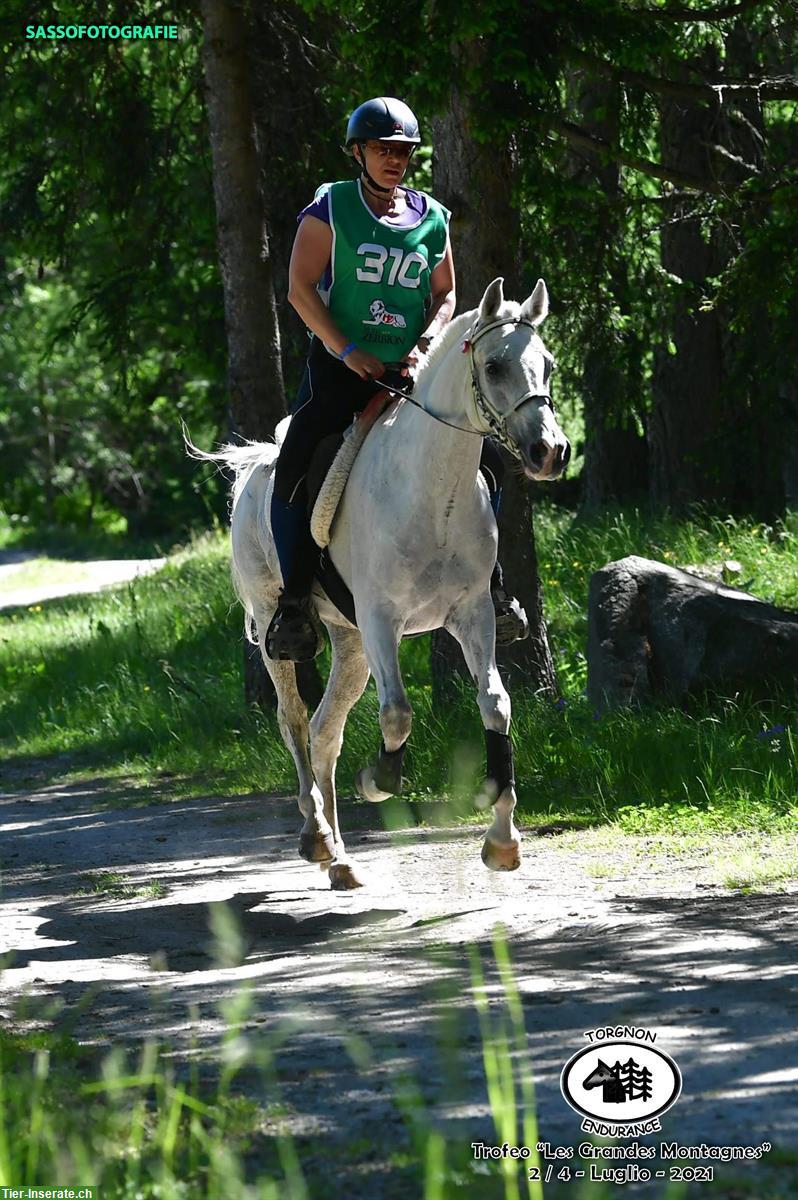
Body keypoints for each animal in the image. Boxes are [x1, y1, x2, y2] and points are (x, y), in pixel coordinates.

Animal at [202, 276, 568, 888]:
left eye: (548, 364)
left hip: (350, 643)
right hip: (282, 620)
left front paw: (502, 839)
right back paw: (316, 834)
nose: (551, 451)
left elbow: (495, 704)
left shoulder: (471, 614)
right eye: (494, 366)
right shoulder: (380, 619)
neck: (433, 492)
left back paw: (342, 861)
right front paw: (378, 780)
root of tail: (256, 466)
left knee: (325, 729)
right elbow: (397, 711)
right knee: (294, 720)